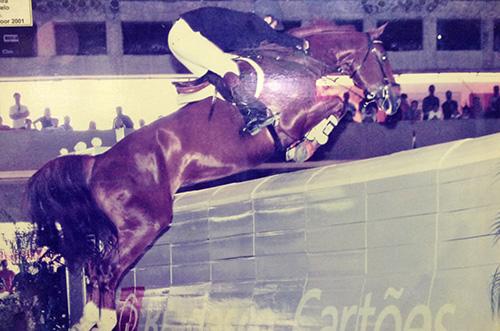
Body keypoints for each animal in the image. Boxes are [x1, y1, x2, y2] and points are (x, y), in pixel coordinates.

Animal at [26, 22, 398, 330]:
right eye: (383, 57)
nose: (394, 101)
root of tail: (98, 161)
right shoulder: (292, 117)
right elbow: (340, 97)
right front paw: (320, 134)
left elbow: (339, 98)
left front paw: (309, 144)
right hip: (146, 224)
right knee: (106, 269)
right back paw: (103, 320)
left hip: (128, 228)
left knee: (95, 267)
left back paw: (88, 318)